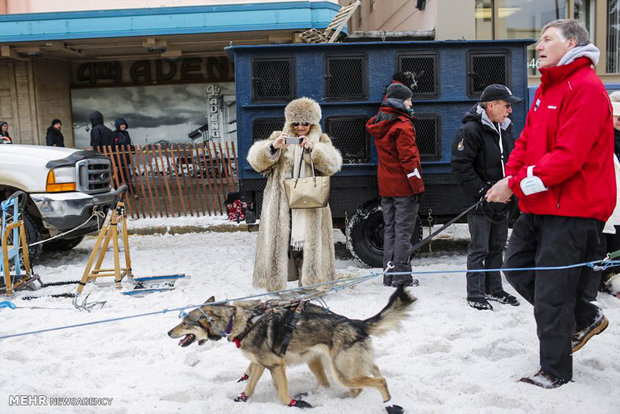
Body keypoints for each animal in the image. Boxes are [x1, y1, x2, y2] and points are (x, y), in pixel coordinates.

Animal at [167, 286, 414, 412]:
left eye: (185, 322)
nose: (168, 332)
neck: (242, 322)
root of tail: (357, 323)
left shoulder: (277, 365)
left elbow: (283, 395)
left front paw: (295, 404)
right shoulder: (259, 364)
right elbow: (249, 386)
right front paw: (240, 400)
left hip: (342, 372)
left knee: (377, 381)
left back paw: (388, 405)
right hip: (339, 366)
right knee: (367, 375)